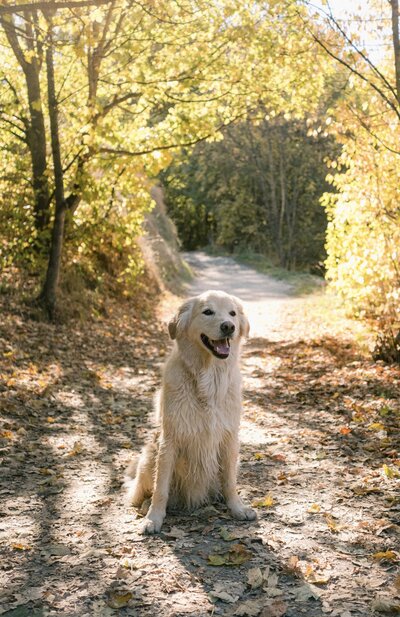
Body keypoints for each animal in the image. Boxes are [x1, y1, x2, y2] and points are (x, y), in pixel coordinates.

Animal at [126, 290, 256, 536]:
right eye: (208, 312)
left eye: (232, 313)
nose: (229, 326)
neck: (209, 379)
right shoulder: (170, 439)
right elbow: (160, 487)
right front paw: (154, 518)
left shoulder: (229, 438)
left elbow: (230, 482)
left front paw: (237, 508)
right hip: (148, 457)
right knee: (140, 493)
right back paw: (145, 505)